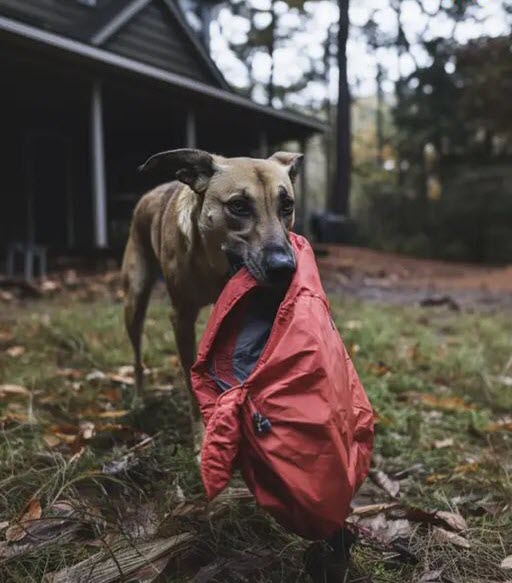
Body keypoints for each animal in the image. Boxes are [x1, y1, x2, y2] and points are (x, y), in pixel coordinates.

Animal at [121, 148, 302, 440]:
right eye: (238, 206)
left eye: (287, 205)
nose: (284, 268)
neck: (215, 266)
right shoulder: (181, 318)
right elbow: (189, 376)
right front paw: (201, 434)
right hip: (134, 300)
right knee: (137, 357)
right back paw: (139, 399)